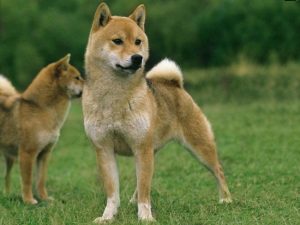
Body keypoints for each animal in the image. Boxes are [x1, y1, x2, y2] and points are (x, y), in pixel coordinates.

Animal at [0, 54, 84, 204]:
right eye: (77, 77)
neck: (41, 109)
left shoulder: (44, 153)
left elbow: (40, 180)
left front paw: (45, 198)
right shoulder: (27, 153)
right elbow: (27, 181)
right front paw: (29, 200)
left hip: (8, 158)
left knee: (6, 179)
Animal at [82, 2, 232, 222]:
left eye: (138, 41)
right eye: (117, 41)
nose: (138, 58)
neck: (115, 97)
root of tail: (174, 84)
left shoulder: (141, 148)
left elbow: (145, 189)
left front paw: (145, 217)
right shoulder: (104, 150)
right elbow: (113, 193)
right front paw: (108, 216)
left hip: (198, 146)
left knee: (218, 170)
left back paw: (226, 199)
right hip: (151, 150)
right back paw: (132, 201)